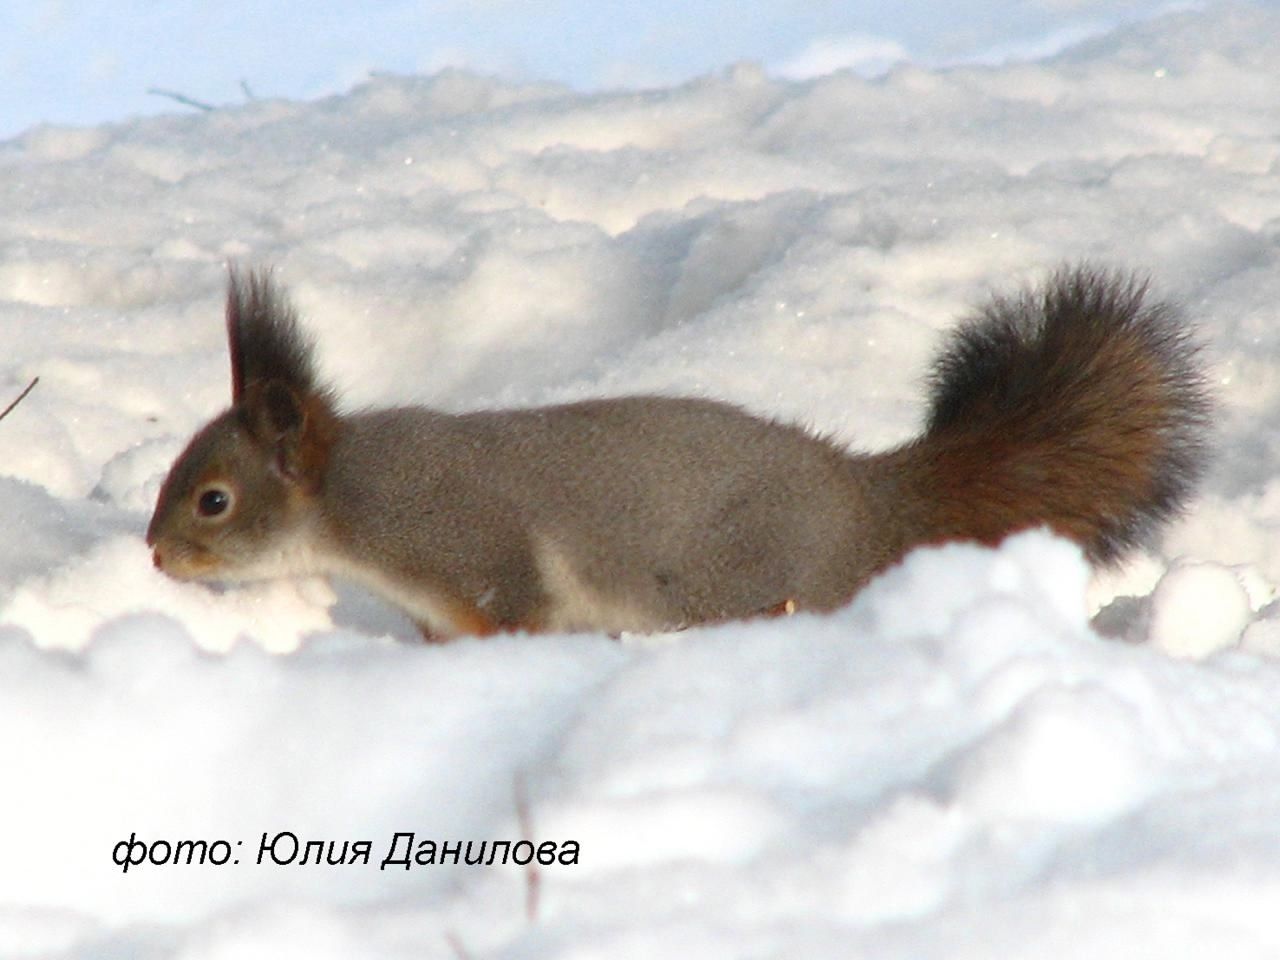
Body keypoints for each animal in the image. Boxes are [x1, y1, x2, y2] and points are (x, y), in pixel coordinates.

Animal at [145, 264, 1203, 640]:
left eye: (212, 500)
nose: (154, 556)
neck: (350, 499)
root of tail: (869, 503)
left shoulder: (474, 555)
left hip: (739, 580)